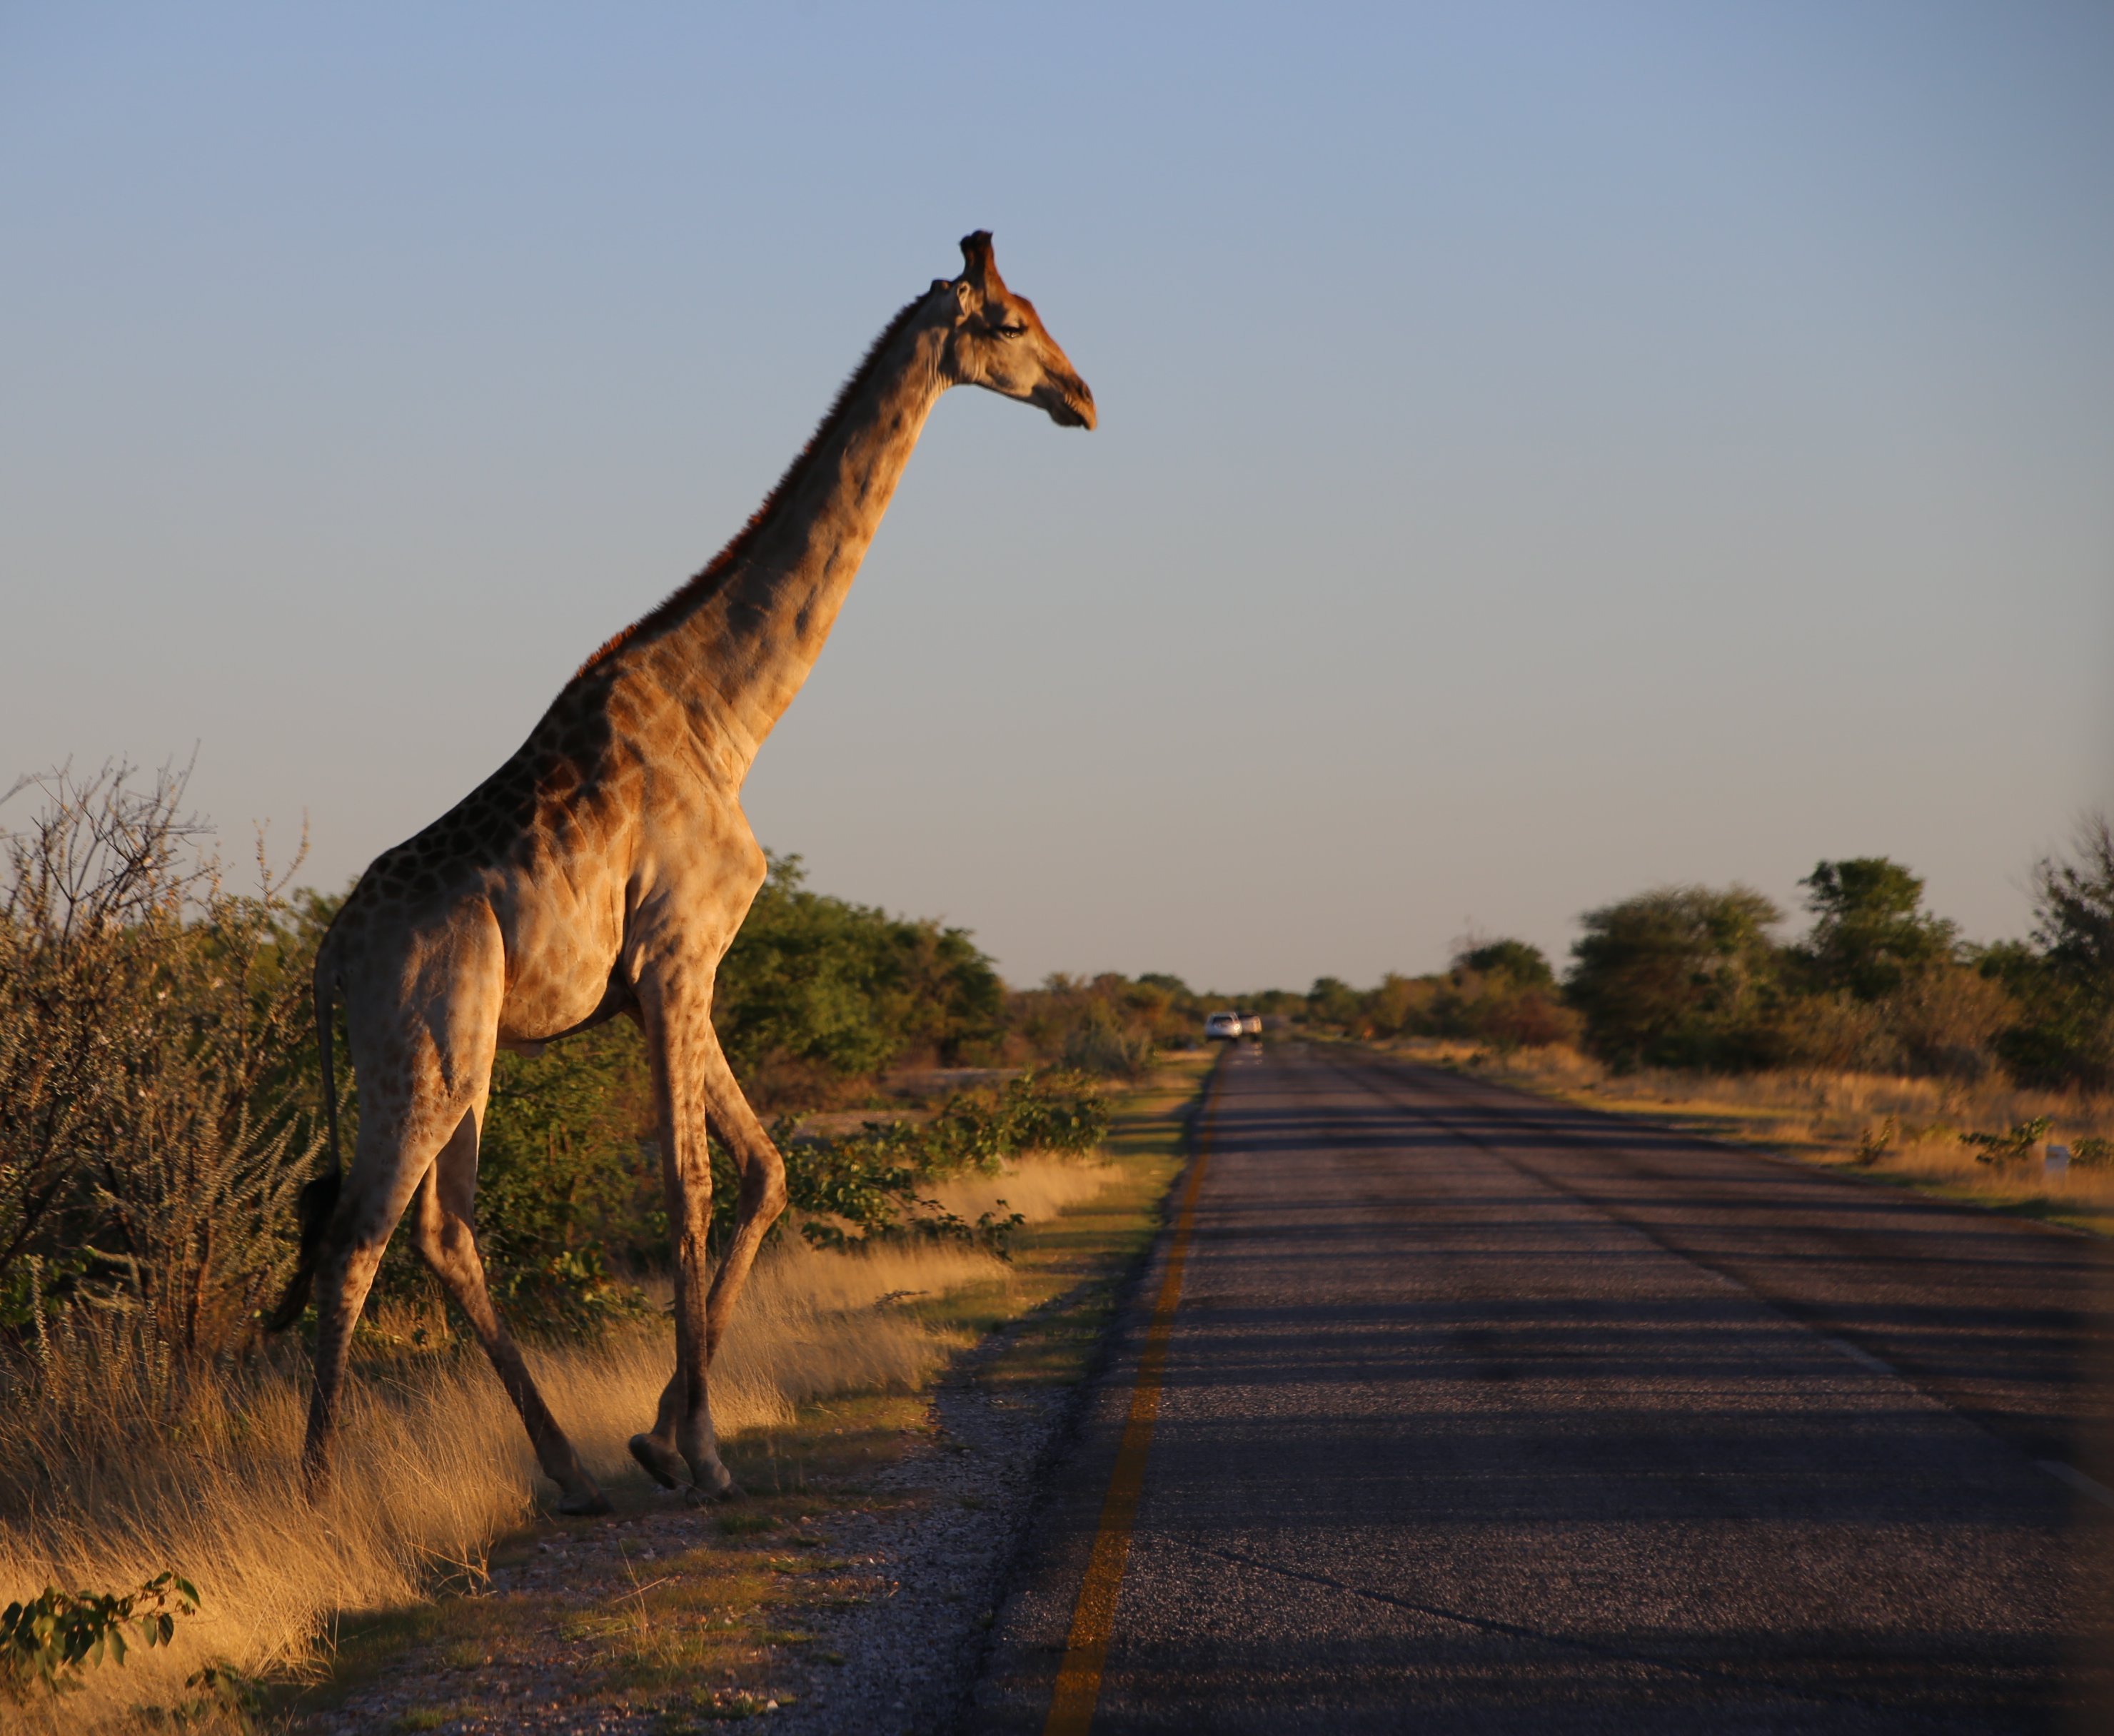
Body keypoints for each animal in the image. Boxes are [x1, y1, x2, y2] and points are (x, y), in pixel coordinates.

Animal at [274, 236, 1099, 1513]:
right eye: (1010, 322)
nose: (1083, 399)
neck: (730, 717)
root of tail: (327, 957)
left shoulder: (674, 972)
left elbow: (764, 1172)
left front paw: (662, 1437)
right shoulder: (676, 956)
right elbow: (689, 1189)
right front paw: (699, 1449)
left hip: (462, 1054)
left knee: (443, 1234)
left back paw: (567, 1470)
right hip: (424, 1040)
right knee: (360, 1231)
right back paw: (320, 1491)